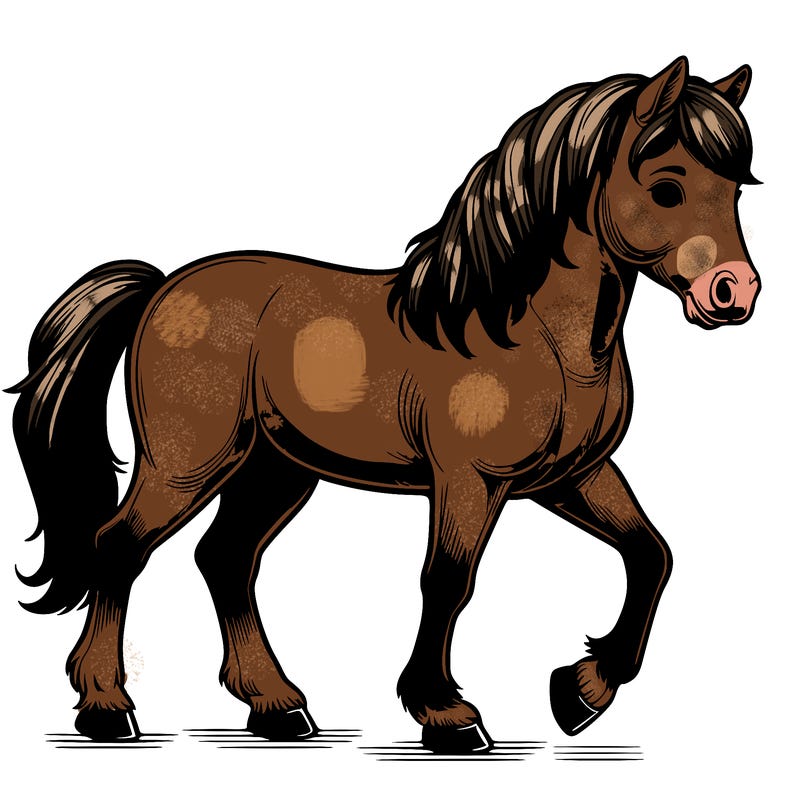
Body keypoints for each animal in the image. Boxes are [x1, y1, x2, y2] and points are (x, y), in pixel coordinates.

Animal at [10, 56, 760, 753]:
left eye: (735, 189)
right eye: (667, 187)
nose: (734, 293)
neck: (530, 332)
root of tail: (163, 288)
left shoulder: (572, 477)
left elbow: (650, 555)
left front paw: (580, 692)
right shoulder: (471, 481)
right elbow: (448, 581)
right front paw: (448, 715)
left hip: (274, 471)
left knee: (225, 559)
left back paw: (277, 707)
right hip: (186, 466)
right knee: (119, 547)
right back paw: (107, 708)